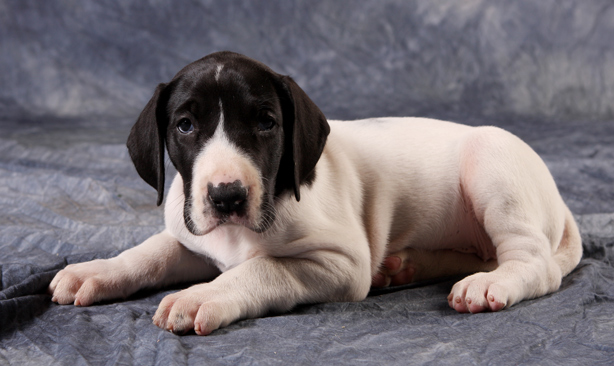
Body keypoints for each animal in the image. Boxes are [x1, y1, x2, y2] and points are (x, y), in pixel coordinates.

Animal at [48, 50, 584, 334]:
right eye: (184, 125)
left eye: (266, 122)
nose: (226, 197)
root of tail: (561, 205)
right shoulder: (192, 234)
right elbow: (150, 252)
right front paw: (97, 271)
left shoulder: (341, 264)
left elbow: (263, 268)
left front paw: (204, 295)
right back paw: (405, 266)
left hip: (493, 166)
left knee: (531, 262)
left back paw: (491, 284)